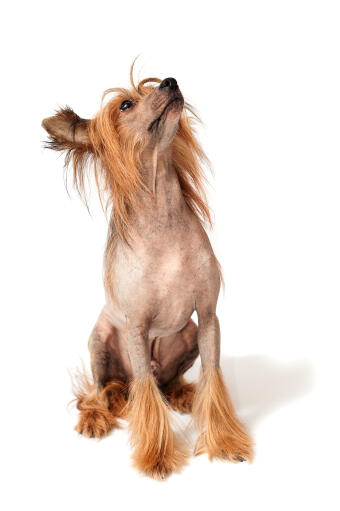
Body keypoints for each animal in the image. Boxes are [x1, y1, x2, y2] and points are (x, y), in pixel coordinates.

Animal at [42, 68, 252, 480]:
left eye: (151, 86)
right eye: (126, 104)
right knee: (102, 390)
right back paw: (97, 416)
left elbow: (213, 378)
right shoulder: (136, 329)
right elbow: (144, 394)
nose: (170, 81)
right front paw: (157, 456)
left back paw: (183, 394)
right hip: (99, 341)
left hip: (187, 335)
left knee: (166, 383)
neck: (163, 216)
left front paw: (224, 441)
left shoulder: (208, 318)